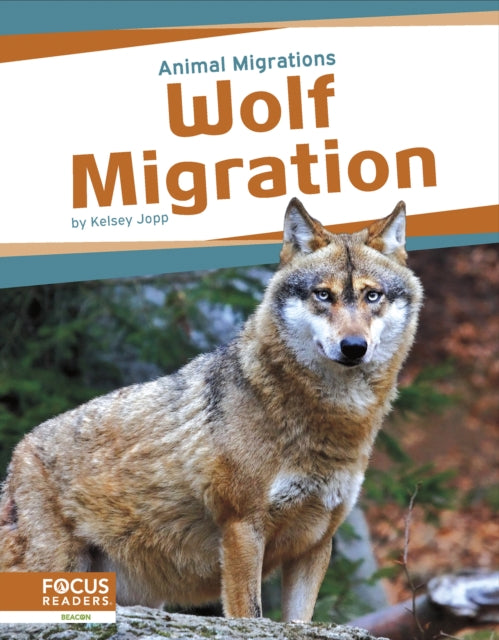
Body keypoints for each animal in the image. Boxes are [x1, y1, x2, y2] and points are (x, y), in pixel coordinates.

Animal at [0, 198, 422, 621]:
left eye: (372, 296)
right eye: (323, 295)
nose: (354, 347)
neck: (332, 422)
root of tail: (18, 452)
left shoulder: (317, 542)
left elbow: (299, 620)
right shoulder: (243, 528)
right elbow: (248, 613)